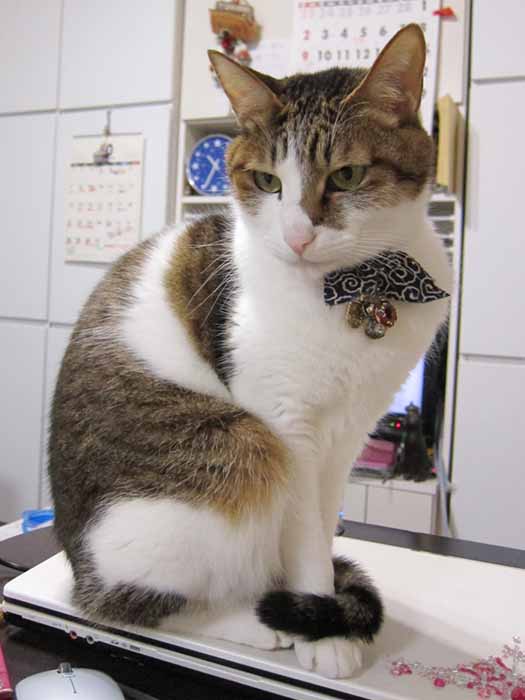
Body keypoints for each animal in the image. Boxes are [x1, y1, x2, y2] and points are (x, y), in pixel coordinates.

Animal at [48, 24, 452, 679]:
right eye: (268, 182)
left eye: (346, 176)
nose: (297, 235)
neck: (357, 289)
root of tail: (75, 560)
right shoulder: (289, 430)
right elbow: (306, 538)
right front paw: (320, 627)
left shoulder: (347, 433)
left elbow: (323, 529)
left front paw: (318, 606)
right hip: (243, 451)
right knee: (128, 603)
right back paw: (253, 621)